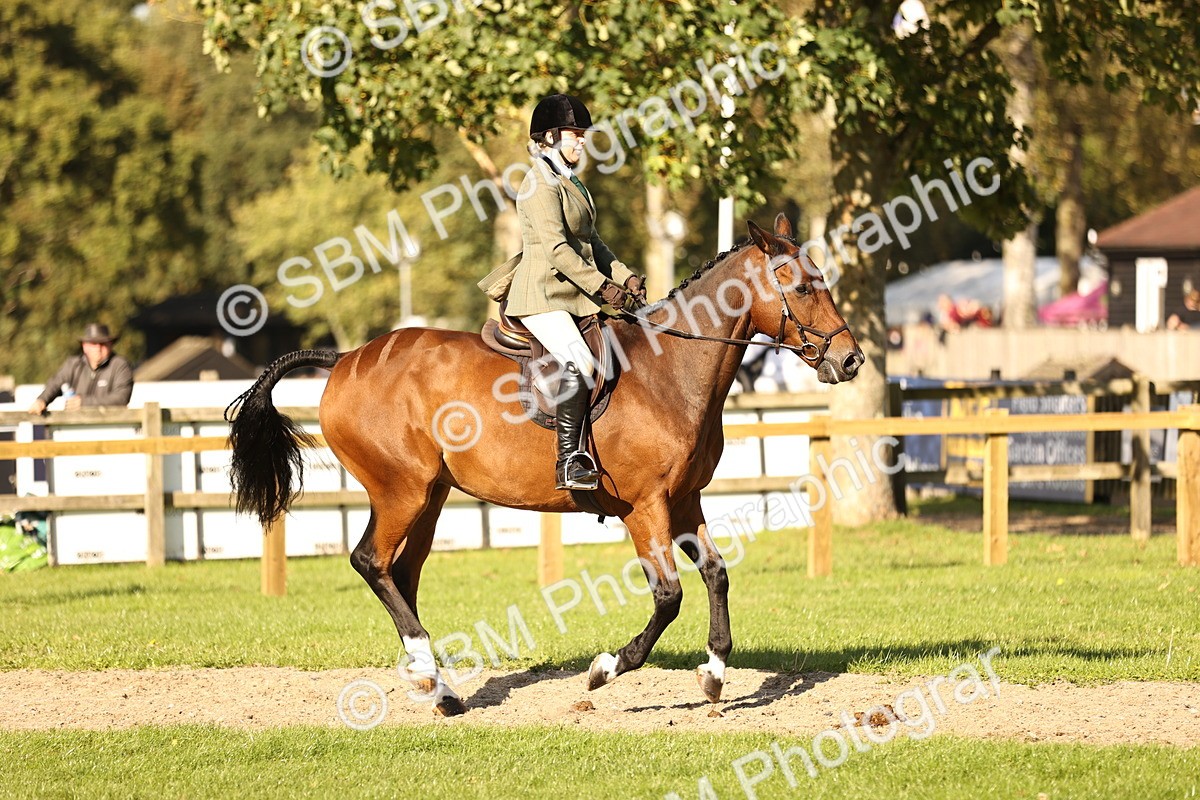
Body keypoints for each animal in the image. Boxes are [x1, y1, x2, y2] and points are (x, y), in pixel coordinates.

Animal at [226, 213, 863, 716]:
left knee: (401, 573)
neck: (669, 372)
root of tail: (345, 358)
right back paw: (435, 682)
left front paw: (712, 675)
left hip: (431, 496)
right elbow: (667, 596)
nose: (850, 360)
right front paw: (606, 668)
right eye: (804, 286)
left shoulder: (684, 501)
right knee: (371, 562)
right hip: (399, 490)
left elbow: (716, 573)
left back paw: (438, 686)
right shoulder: (645, 508)